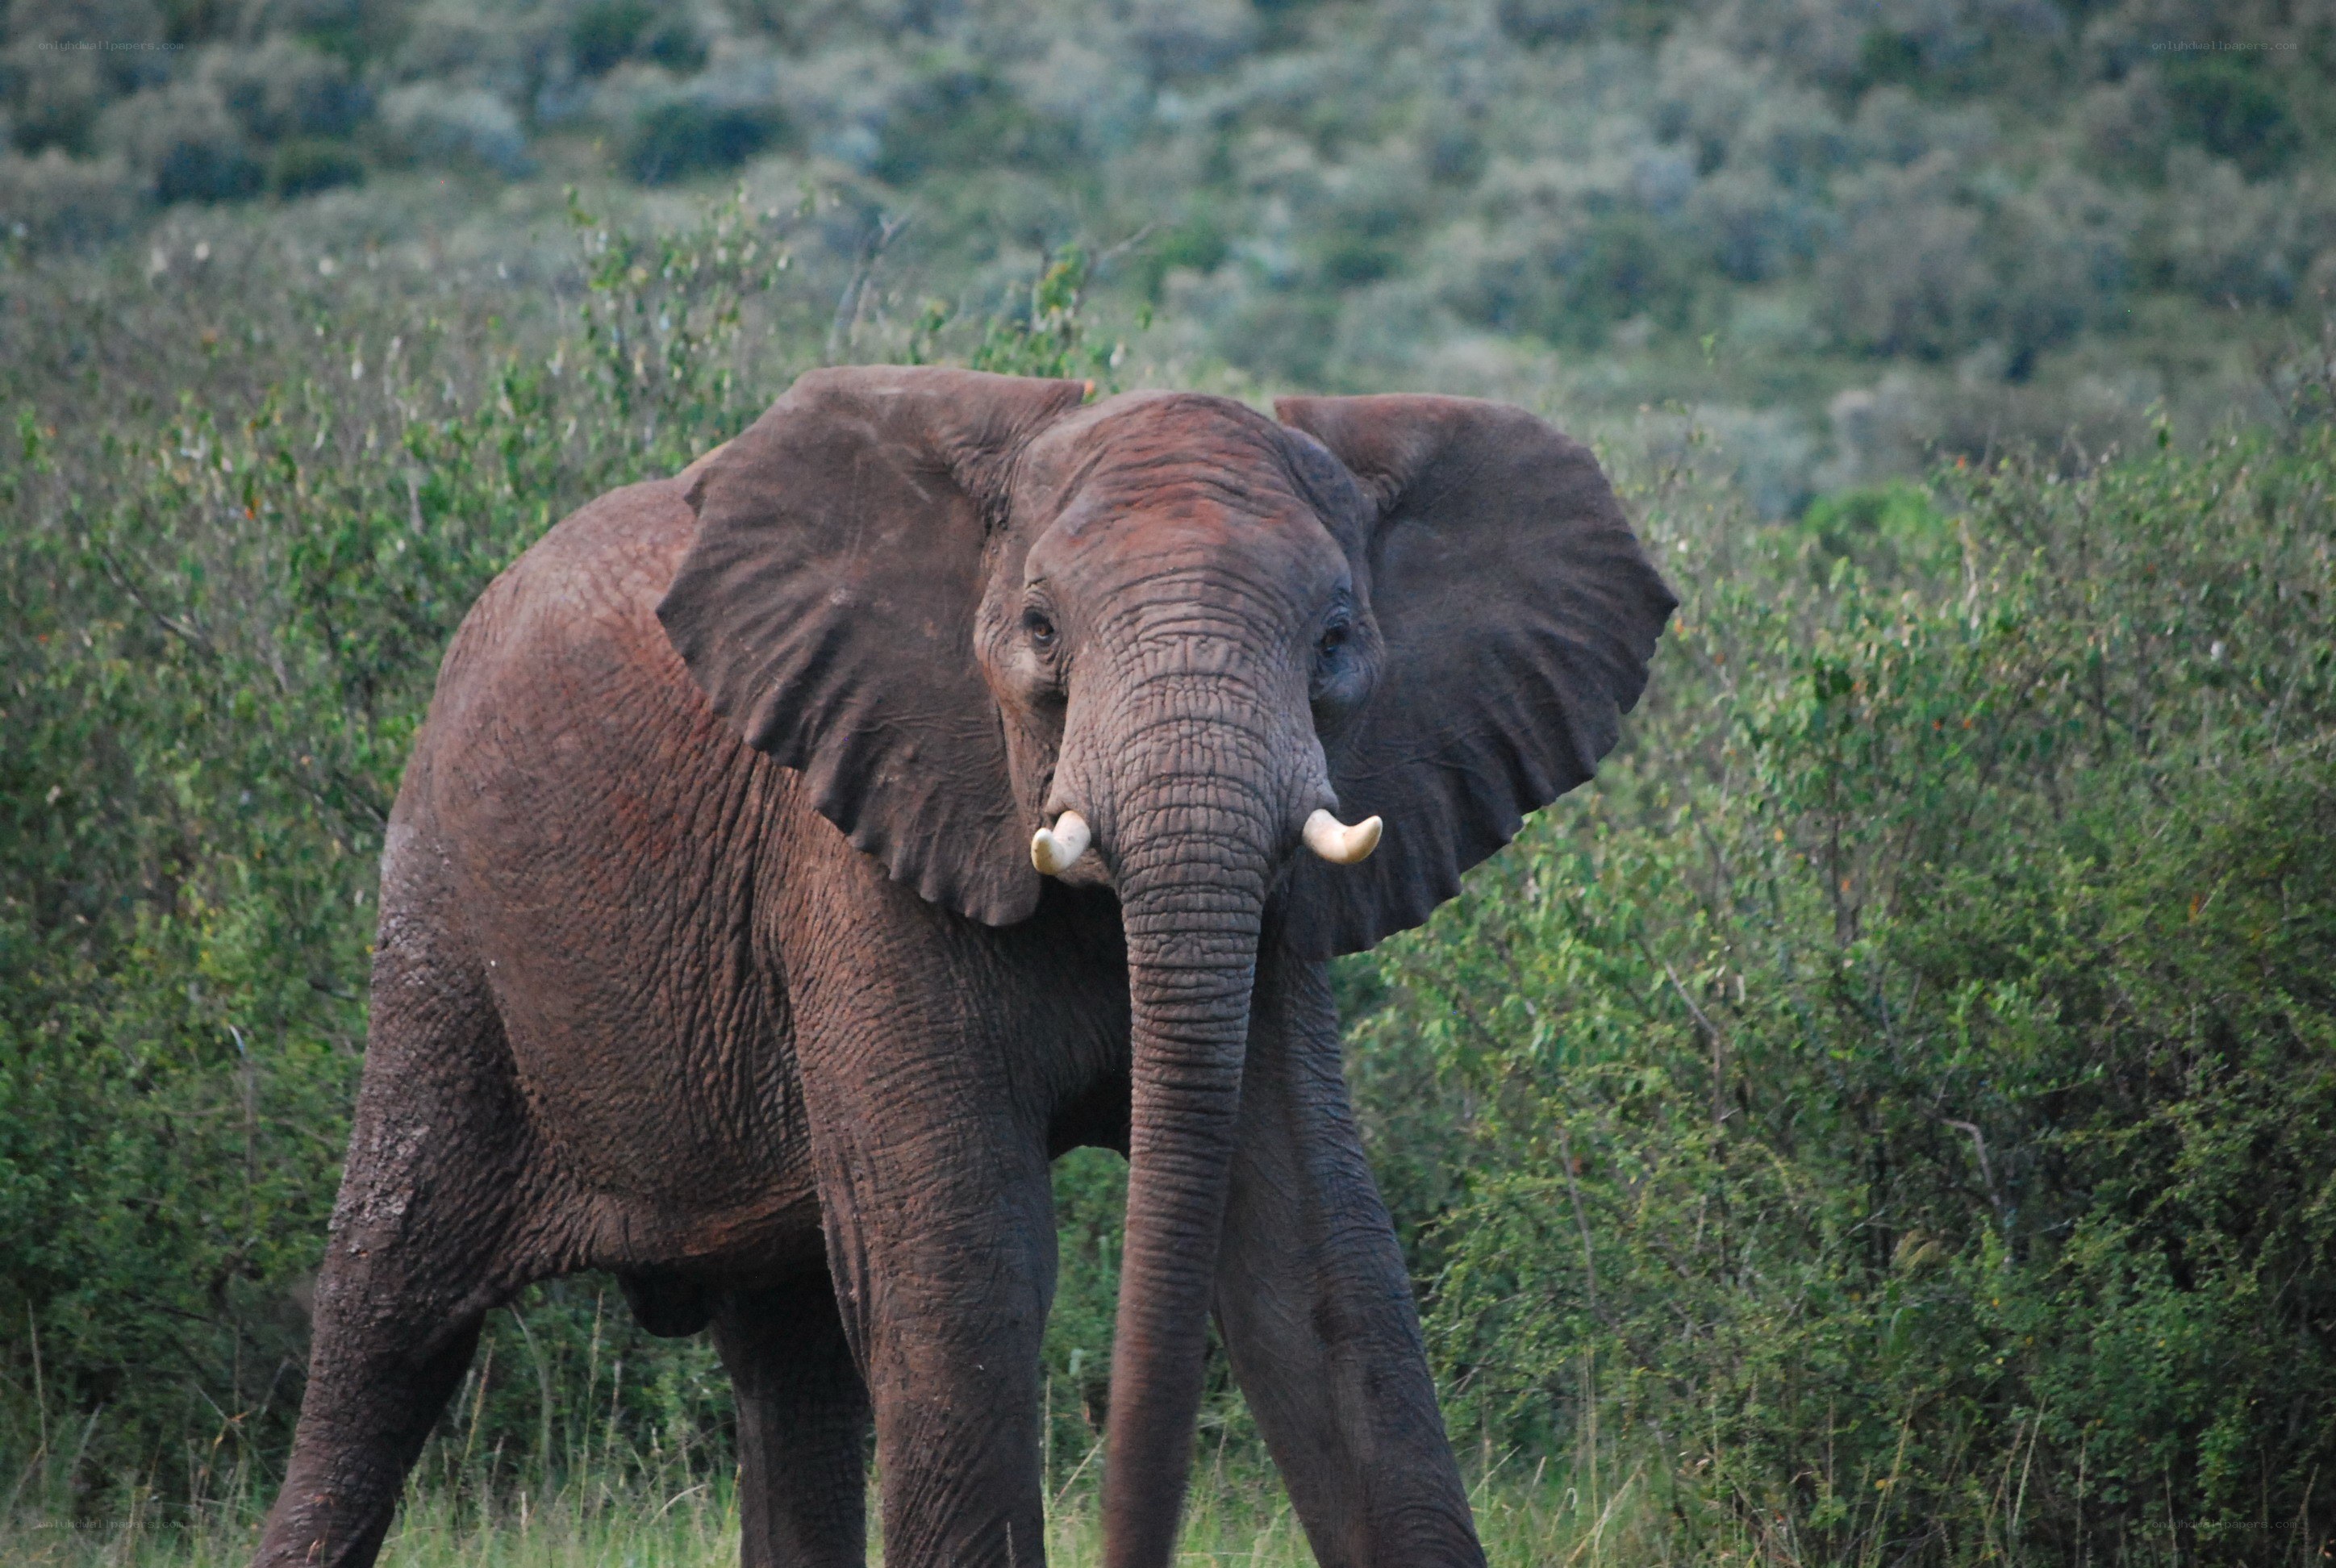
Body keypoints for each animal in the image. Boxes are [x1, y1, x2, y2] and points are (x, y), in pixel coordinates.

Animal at [252, 366, 1674, 1568]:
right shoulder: (853, 850)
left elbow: (1318, 1271)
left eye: (1334, 643)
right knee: (386, 1323)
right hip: (443, 923)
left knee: (792, 1362)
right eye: (1040, 630)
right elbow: (969, 1278)